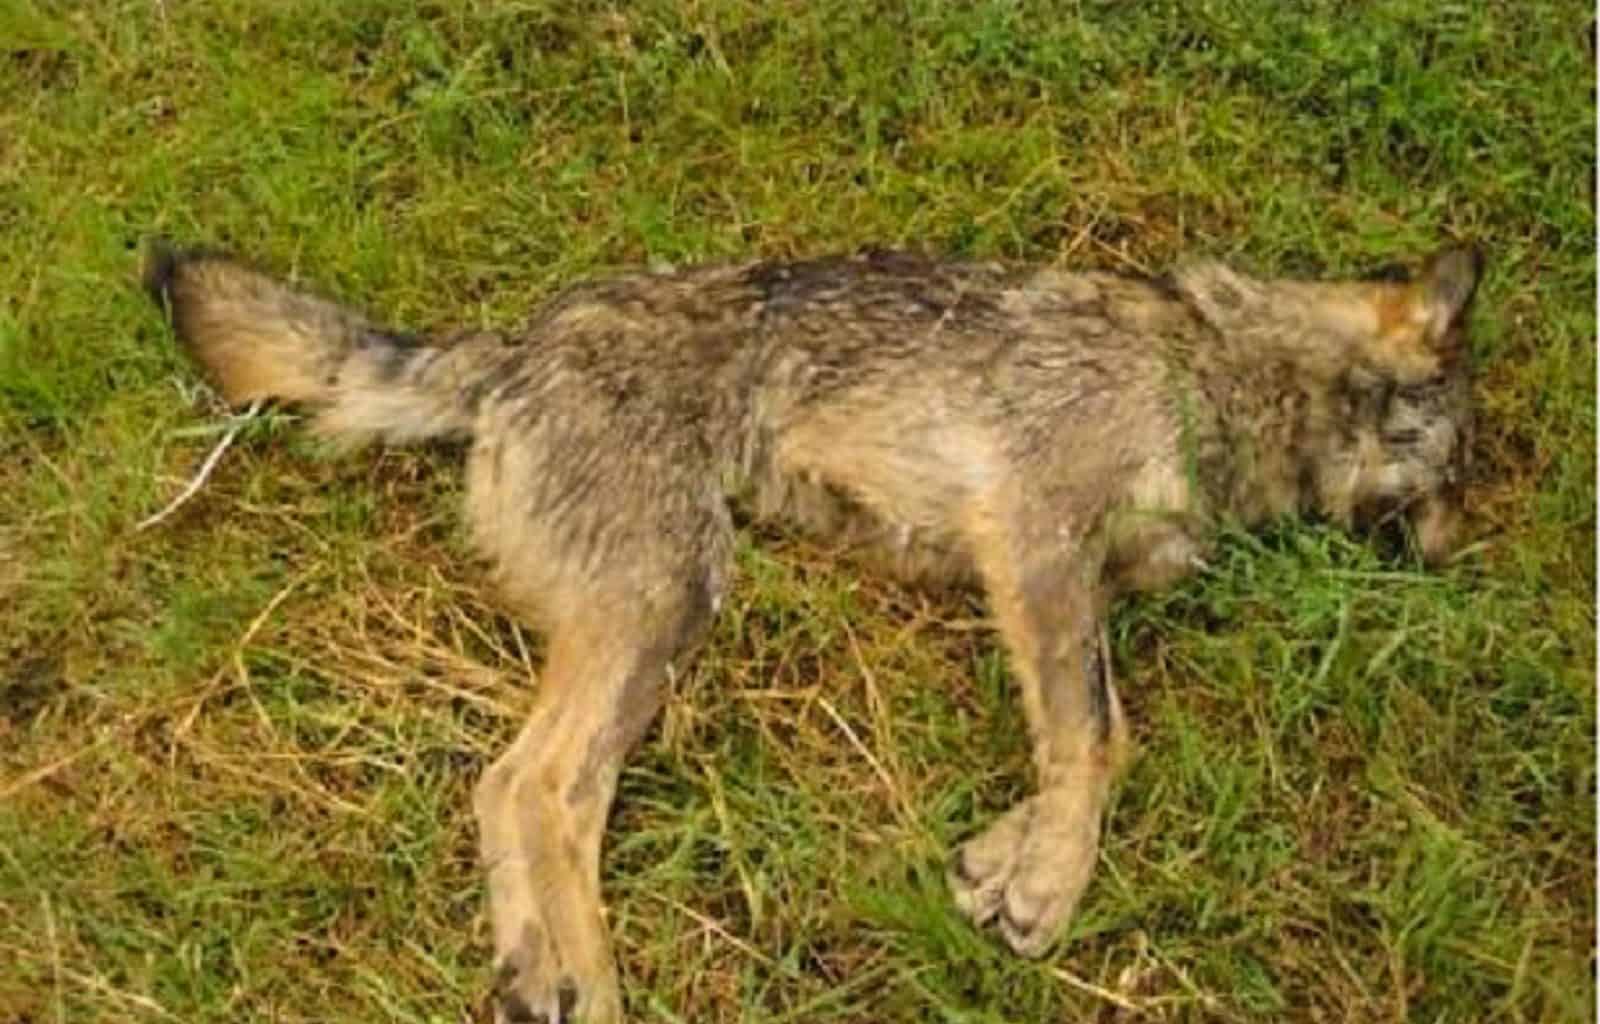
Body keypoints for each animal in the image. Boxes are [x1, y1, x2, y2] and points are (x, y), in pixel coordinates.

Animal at [142, 238, 1481, 1023]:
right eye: (1449, 474)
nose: (1456, 559)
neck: (1214, 371)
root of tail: (514, 344)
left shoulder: (1057, 582)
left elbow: (1082, 743)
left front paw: (1005, 861)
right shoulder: (1036, 541)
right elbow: (1097, 739)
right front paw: (1050, 886)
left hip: (647, 620)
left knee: (500, 784)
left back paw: (535, 969)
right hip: (671, 602)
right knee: (541, 787)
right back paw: (592, 978)